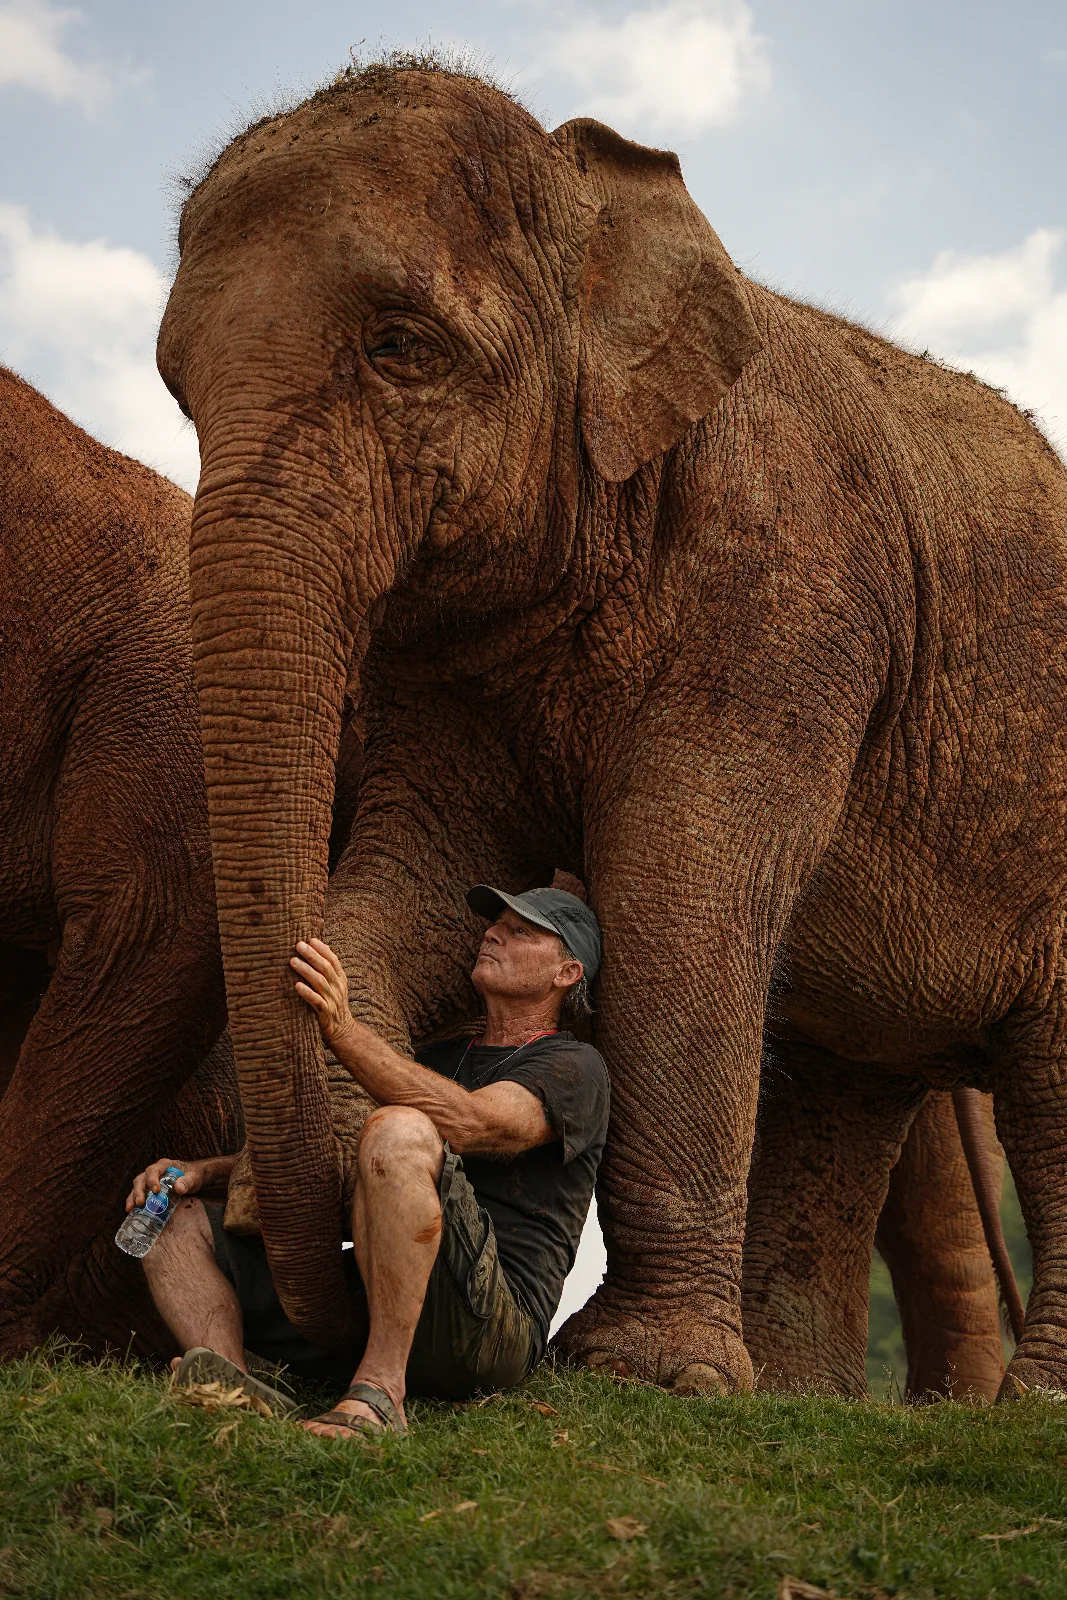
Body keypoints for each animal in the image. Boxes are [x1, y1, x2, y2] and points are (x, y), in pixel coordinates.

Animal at [156, 60, 1063, 1400]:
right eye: (176, 387)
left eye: (402, 347)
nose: (272, 1222)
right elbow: (424, 875)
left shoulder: (784, 596)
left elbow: (677, 887)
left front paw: (646, 1373)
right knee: (841, 1090)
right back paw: (795, 1392)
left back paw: (1020, 1396)